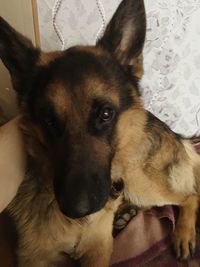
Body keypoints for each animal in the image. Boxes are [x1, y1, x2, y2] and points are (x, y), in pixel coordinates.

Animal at [1, 0, 200, 267]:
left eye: (106, 114)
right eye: (49, 120)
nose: (78, 209)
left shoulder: (98, 249)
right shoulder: (34, 258)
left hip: (139, 181)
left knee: (190, 195)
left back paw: (183, 234)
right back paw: (125, 215)